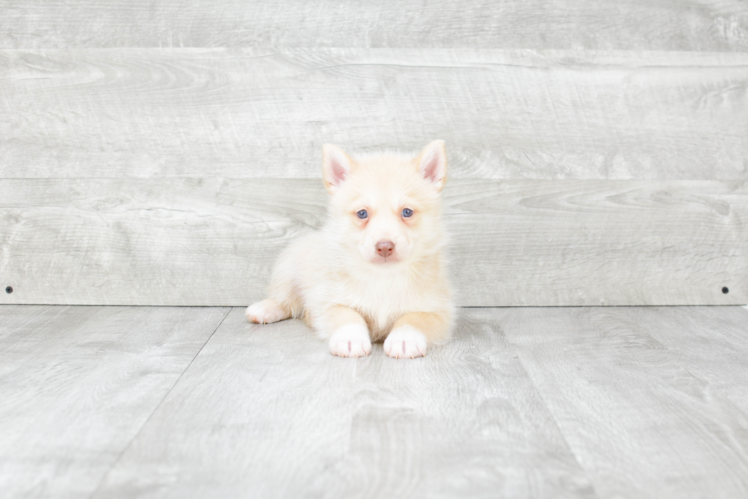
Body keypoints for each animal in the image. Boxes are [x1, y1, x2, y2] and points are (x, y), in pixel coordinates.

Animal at [248, 141, 452, 360]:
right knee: (285, 300)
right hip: (288, 269)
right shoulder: (330, 301)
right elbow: (348, 315)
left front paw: (405, 339)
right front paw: (350, 339)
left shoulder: (439, 311)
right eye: (362, 213)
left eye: (407, 212)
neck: (383, 276)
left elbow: (413, 319)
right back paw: (264, 309)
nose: (384, 246)